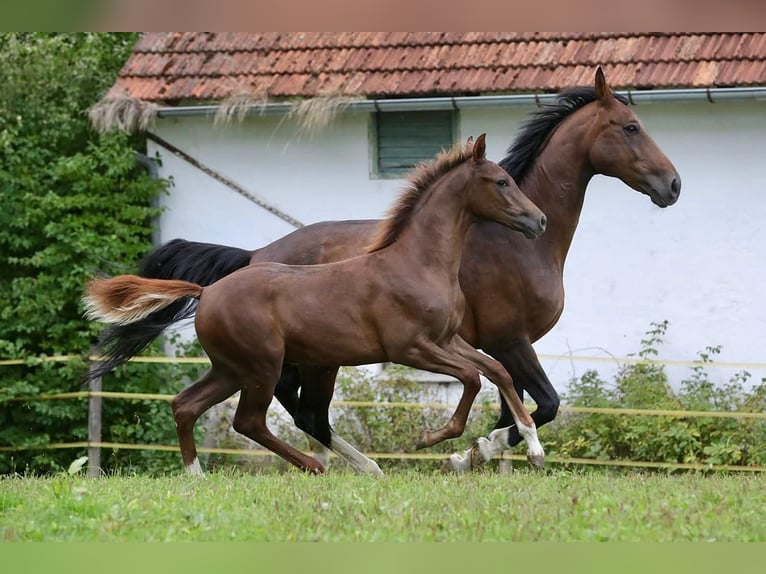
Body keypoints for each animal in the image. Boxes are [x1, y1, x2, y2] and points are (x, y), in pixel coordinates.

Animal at [84, 134, 548, 475]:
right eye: (501, 181)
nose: (539, 220)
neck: (418, 262)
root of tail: (207, 292)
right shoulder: (411, 348)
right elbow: (472, 378)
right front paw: (434, 439)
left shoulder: (449, 340)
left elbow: (497, 371)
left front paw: (532, 447)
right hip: (263, 367)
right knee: (250, 421)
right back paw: (319, 465)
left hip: (232, 369)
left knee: (186, 405)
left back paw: (198, 476)